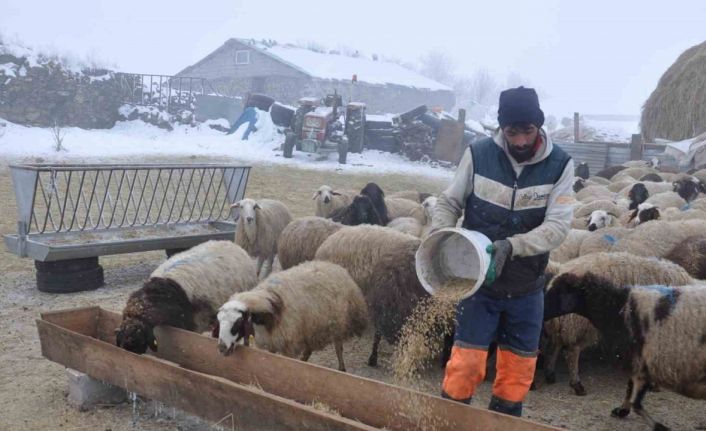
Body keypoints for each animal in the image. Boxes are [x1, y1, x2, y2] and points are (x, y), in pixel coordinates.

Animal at [217, 262, 366, 372]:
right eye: (219, 321)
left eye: (238, 322)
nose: (221, 348)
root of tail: (336, 267)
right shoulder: (269, 342)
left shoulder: (289, 344)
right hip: (312, 327)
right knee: (309, 349)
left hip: (337, 324)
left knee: (338, 347)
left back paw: (341, 368)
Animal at [544, 276, 704, 430]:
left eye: (557, 291)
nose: (541, 311)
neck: (617, 307)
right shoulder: (638, 360)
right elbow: (631, 391)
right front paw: (622, 411)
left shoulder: (641, 360)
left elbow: (635, 399)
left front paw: (656, 425)